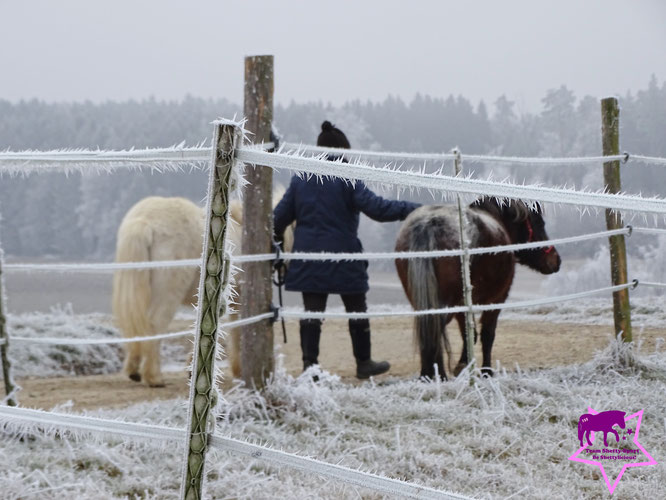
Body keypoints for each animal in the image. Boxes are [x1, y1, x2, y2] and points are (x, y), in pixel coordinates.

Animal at [394, 199, 560, 378]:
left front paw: (463, 365)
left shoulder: (463, 304)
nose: (556, 260)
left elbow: (469, 334)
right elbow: (487, 335)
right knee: (435, 330)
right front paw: (486, 371)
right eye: (539, 223)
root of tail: (429, 224)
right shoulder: (497, 299)